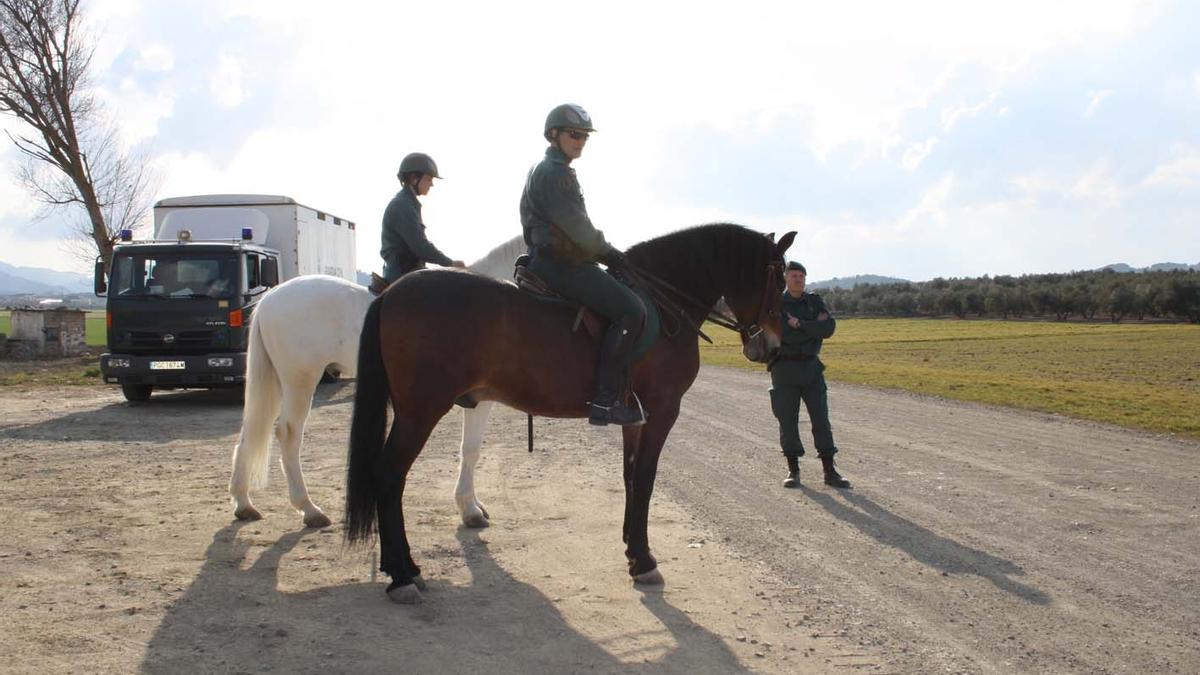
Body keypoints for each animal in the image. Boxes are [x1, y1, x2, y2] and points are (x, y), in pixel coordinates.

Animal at [226, 236, 523, 526]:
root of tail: (271, 297)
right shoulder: (479, 400)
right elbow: (470, 449)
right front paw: (470, 509)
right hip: (299, 380)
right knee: (288, 434)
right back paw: (308, 508)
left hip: (276, 382)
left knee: (251, 428)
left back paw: (243, 502)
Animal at [348, 223, 796, 600]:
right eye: (777, 279)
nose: (773, 346)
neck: (662, 304)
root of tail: (393, 291)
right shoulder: (662, 410)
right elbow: (646, 480)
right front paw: (645, 560)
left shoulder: (634, 416)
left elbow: (630, 477)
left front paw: (632, 549)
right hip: (419, 412)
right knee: (388, 476)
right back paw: (402, 573)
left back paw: (402, 568)